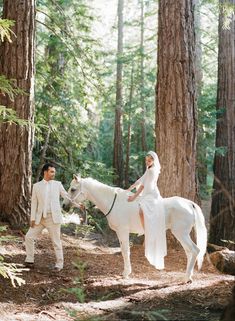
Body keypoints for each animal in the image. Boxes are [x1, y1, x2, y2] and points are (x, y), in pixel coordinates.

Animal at [63, 175, 207, 282]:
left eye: (73, 189)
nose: (64, 206)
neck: (114, 203)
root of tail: (189, 204)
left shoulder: (122, 231)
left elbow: (125, 251)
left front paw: (126, 273)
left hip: (181, 233)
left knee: (194, 250)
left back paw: (186, 278)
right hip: (182, 234)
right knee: (189, 252)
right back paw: (189, 276)